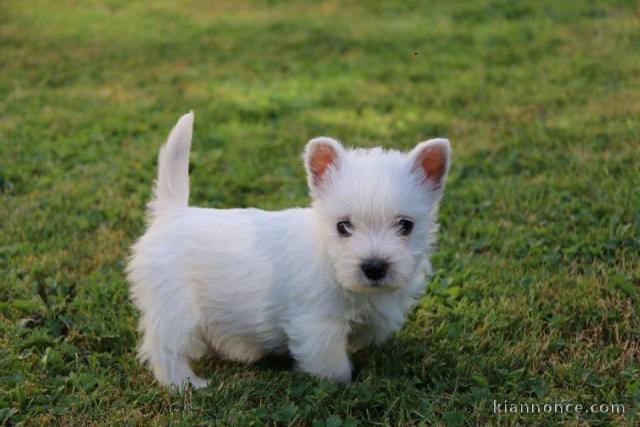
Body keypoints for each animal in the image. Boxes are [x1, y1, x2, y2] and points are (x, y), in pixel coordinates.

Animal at [127, 112, 452, 390]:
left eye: (405, 225)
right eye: (343, 226)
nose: (374, 267)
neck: (329, 260)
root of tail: (172, 214)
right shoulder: (318, 326)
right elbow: (333, 366)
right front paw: (342, 385)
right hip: (175, 308)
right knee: (166, 350)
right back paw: (188, 385)